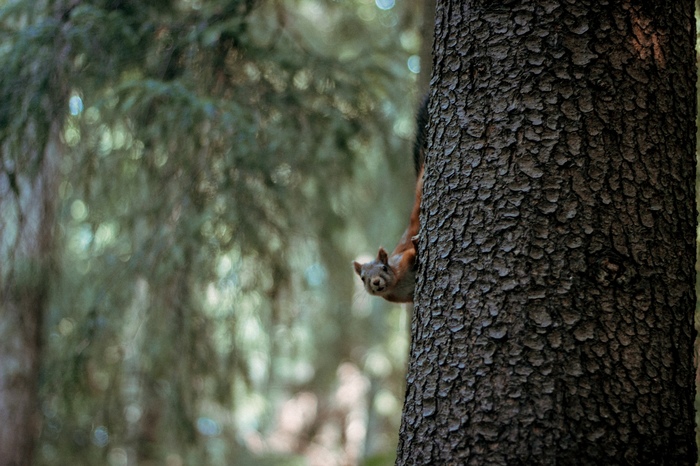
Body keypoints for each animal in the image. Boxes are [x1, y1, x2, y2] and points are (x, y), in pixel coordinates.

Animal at [352, 96, 430, 304]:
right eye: (363, 278)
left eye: (384, 267)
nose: (376, 282)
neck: (397, 283)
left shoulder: (403, 258)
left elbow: (413, 252)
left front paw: (417, 245)